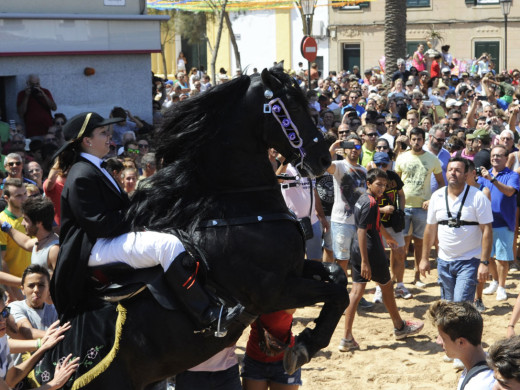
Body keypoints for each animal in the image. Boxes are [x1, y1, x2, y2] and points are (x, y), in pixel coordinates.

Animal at [30, 64, 348, 386]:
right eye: (293, 105)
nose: (324, 158)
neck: (237, 208)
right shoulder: (272, 291)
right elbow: (338, 293)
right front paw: (306, 345)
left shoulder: (293, 271)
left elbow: (337, 278)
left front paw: (304, 343)